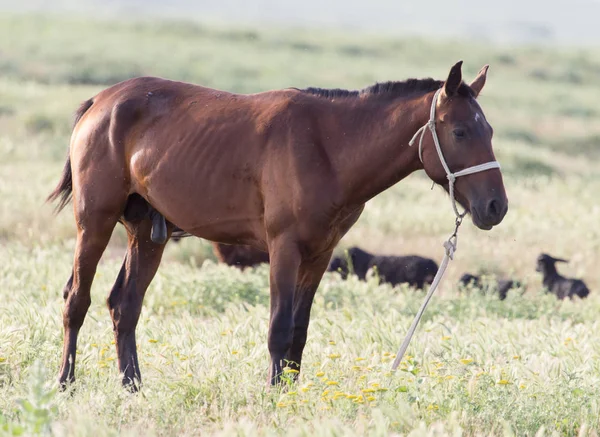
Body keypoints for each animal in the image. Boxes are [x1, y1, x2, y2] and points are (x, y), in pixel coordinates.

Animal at [48, 59, 506, 386]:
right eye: (461, 131)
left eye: (489, 130)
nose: (495, 206)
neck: (328, 147)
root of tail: (100, 102)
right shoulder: (284, 250)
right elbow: (279, 329)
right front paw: (273, 395)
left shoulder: (319, 255)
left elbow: (298, 335)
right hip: (95, 223)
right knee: (77, 299)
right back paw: (65, 383)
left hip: (147, 234)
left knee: (124, 306)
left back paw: (133, 387)